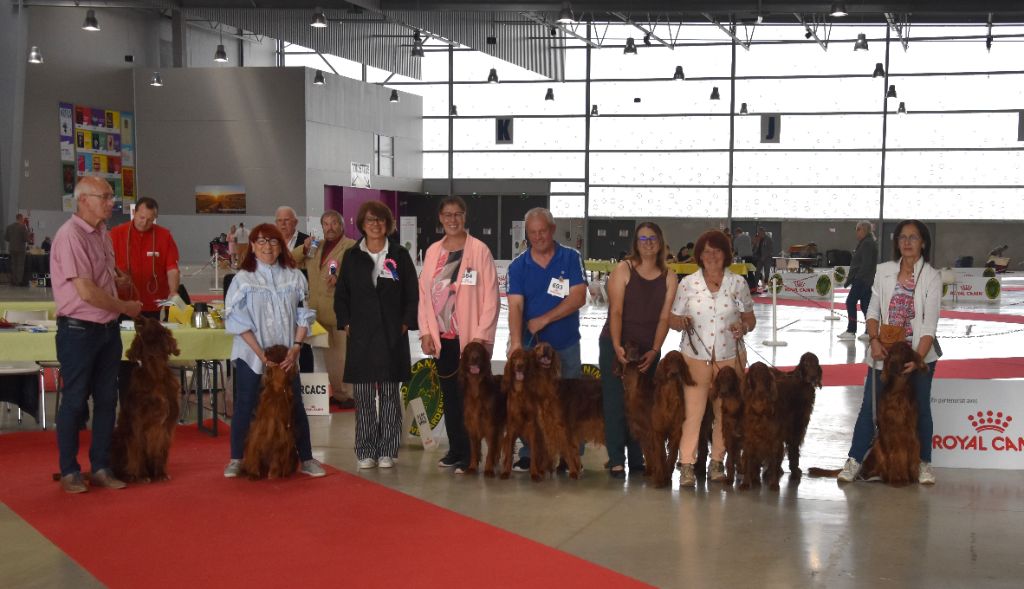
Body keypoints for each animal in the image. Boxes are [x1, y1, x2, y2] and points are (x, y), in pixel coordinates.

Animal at [111, 317, 180, 483]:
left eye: (152, 320)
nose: (138, 317)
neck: (155, 372)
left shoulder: (166, 425)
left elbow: (160, 451)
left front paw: (160, 474)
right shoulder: (138, 422)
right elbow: (139, 449)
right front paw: (142, 475)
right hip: (118, 437)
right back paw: (129, 475)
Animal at [240, 346, 299, 479]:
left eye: (275, 348)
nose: (265, 350)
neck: (278, 388)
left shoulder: (282, 433)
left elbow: (277, 454)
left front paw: (273, 473)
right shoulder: (260, 428)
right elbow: (255, 450)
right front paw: (254, 472)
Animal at [458, 344, 505, 477]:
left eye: (480, 349)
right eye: (469, 349)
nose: (475, 357)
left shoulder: (490, 426)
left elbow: (490, 451)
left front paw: (488, 469)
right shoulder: (473, 426)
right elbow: (474, 450)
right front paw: (472, 467)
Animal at [737, 364, 782, 493]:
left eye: (765, 376)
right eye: (754, 375)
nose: (761, 392)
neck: (760, 410)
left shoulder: (774, 441)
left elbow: (773, 464)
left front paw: (774, 483)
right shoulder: (749, 440)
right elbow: (749, 464)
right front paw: (746, 483)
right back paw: (755, 479)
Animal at [860, 344, 925, 485]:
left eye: (903, 351)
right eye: (890, 353)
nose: (892, 364)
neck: (898, 390)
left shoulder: (911, 430)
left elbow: (912, 453)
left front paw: (913, 476)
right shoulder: (888, 430)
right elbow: (894, 455)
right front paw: (897, 478)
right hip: (877, 444)